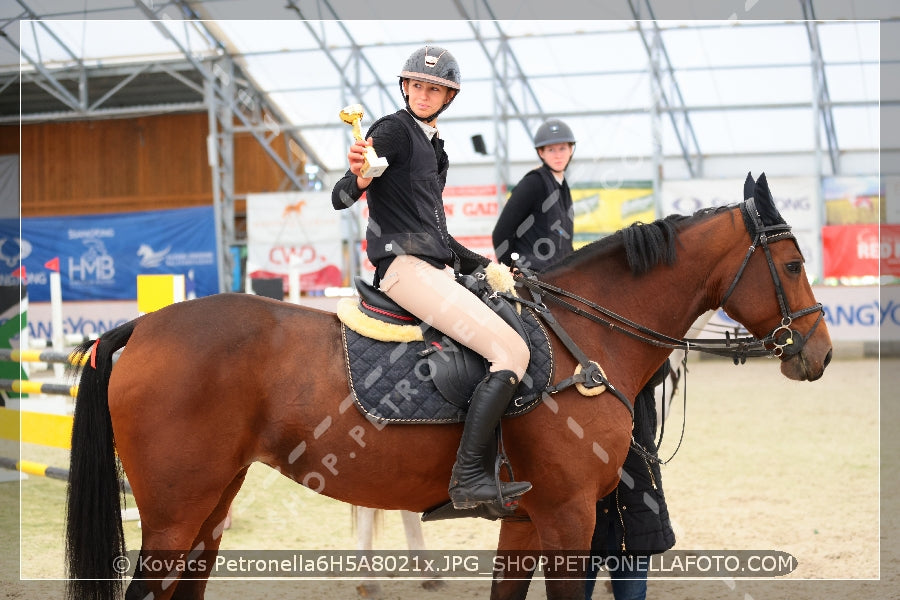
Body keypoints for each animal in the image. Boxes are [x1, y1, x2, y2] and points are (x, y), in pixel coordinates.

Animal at [65, 171, 836, 596]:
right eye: (794, 265)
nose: (820, 353)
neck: (582, 338)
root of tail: (144, 326)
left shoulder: (525, 522)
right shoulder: (568, 518)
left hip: (209, 511)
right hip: (172, 518)